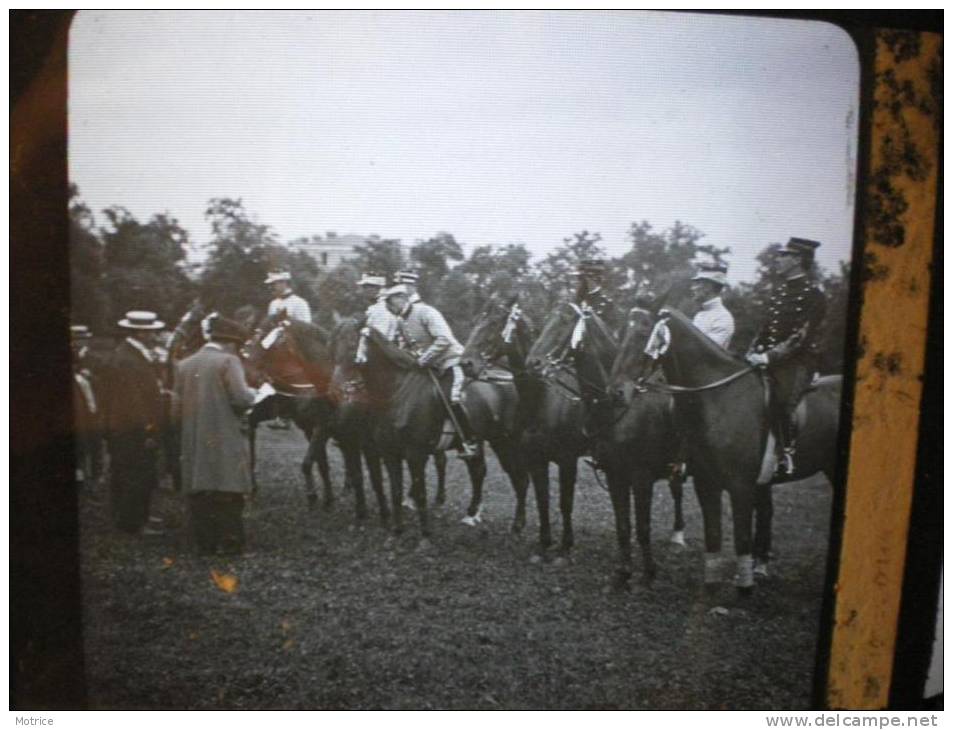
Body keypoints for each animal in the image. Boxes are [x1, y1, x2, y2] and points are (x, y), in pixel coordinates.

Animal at [632, 308, 840, 592]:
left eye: (643, 335)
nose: (619, 389)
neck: (718, 398)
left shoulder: (740, 486)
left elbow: (741, 537)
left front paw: (744, 587)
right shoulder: (707, 483)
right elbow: (713, 534)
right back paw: (760, 567)